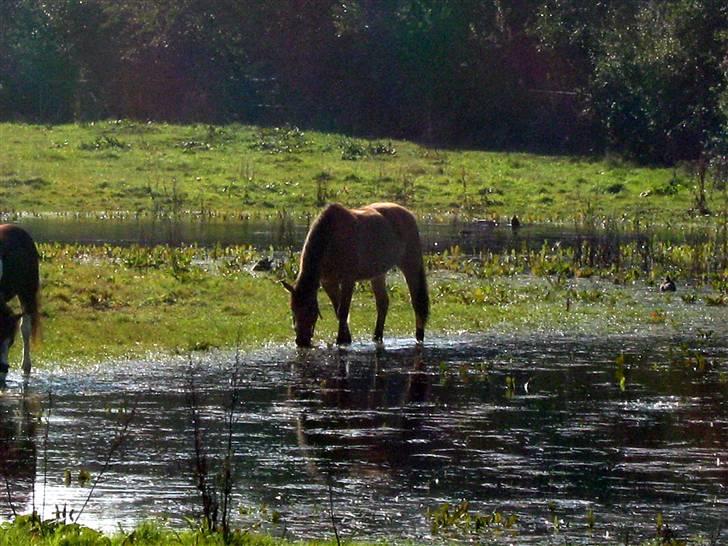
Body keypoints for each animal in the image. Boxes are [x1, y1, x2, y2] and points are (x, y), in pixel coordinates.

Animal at [278, 202, 426, 346]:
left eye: (310, 309)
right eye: (293, 309)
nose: (301, 341)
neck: (331, 238)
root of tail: (407, 213)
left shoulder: (348, 280)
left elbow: (343, 311)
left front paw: (341, 340)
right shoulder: (328, 282)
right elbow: (338, 309)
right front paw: (346, 338)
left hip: (410, 266)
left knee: (417, 302)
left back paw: (419, 337)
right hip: (378, 275)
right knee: (382, 303)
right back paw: (377, 337)